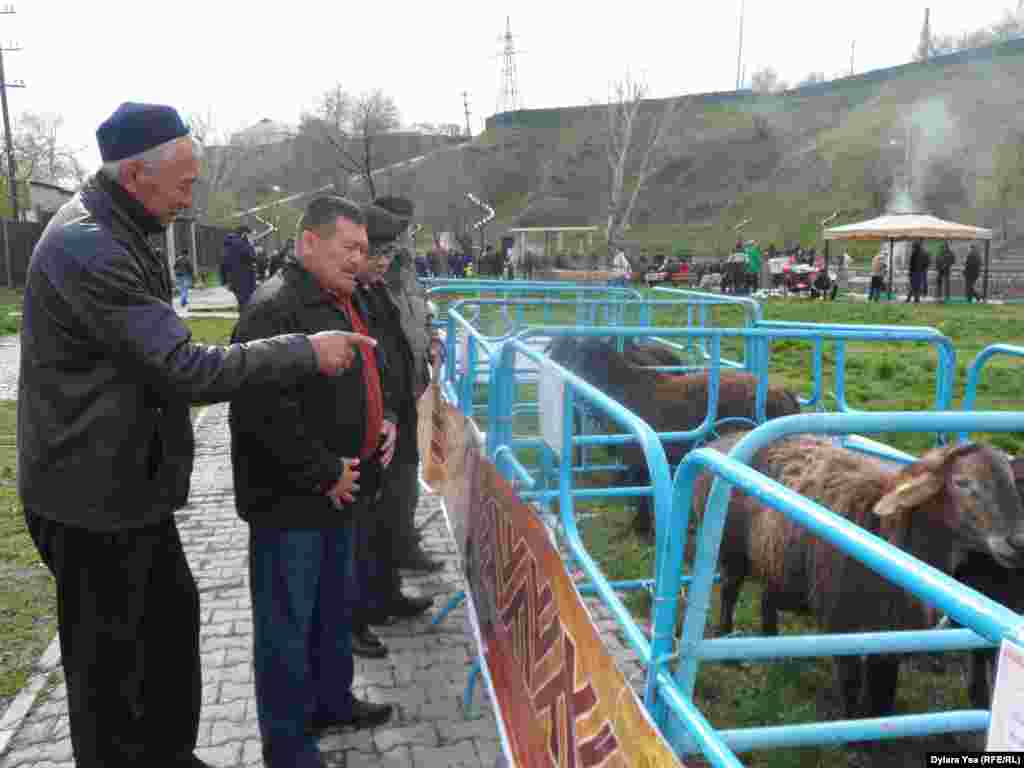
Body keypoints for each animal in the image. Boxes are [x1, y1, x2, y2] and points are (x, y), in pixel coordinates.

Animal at [688, 434, 1024, 720]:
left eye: (1011, 481)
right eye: (962, 482)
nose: (1017, 542)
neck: (887, 534)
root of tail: (723, 440)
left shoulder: (892, 631)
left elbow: (883, 692)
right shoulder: (842, 622)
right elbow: (850, 685)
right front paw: (855, 737)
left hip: (776, 559)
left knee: (767, 600)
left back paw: (772, 646)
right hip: (732, 550)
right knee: (730, 591)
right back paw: (729, 645)